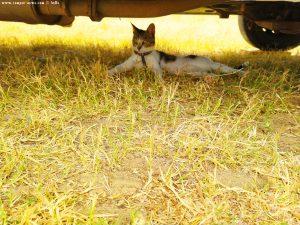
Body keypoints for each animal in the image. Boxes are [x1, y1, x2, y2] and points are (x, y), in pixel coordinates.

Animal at [107, 23, 246, 79]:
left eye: (145, 41)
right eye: (136, 41)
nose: (139, 47)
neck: (142, 56)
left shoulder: (156, 67)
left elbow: (158, 74)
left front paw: (160, 83)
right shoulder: (127, 65)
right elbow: (118, 67)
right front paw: (107, 73)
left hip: (215, 65)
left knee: (229, 69)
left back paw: (243, 73)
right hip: (193, 73)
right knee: (212, 74)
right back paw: (211, 79)